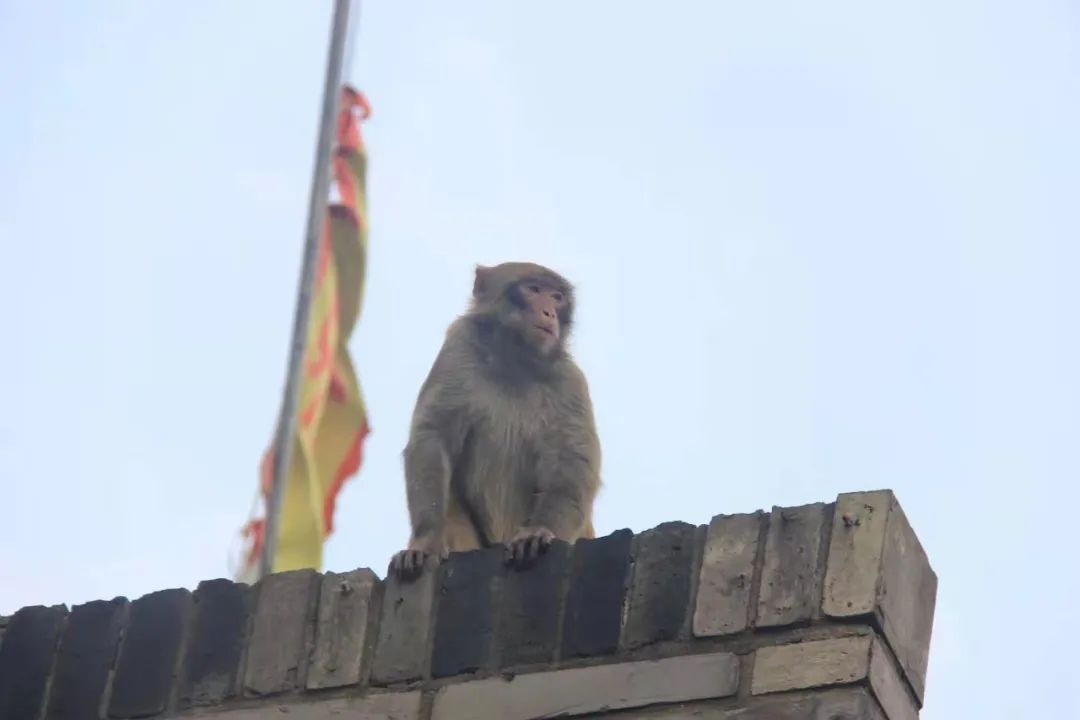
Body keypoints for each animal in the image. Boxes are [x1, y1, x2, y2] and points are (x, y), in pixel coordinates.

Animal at [393, 262, 604, 578]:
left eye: (556, 297)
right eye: (534, 290)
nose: (549, 313)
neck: (515, 361)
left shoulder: (570, 381)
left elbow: (572, 459)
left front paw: (539, 531)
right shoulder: (459, 346)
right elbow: (433, 436)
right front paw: (427, 540)